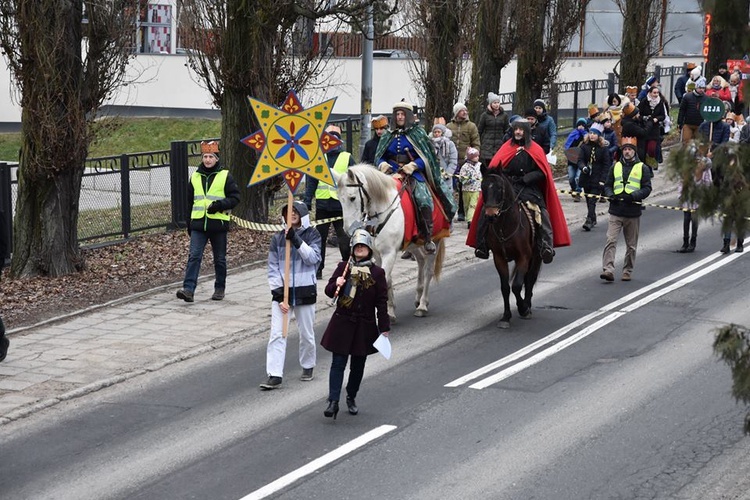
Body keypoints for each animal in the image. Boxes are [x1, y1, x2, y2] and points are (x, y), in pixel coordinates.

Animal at [334, 164, 446, 320]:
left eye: (352, 198)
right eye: (339, 199)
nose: (348, 229)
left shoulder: (389, 253)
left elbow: (385, 280)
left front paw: (382, 313)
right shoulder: (377, 255)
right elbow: (387, 281)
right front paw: (390, 311)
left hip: (435, 240)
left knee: (428, 271)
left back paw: (423, 305)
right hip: (413, 244)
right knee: (421, 261)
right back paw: (418, 297)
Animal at [484, 170, 544, 330]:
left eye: (500, 188)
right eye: (483, 187)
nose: (491, 215)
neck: (505, 226)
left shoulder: (524, 257)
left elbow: (517, 286)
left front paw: (523, 308)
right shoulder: (499, 258)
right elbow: (505, 287)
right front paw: (506, 317)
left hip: (536, 256)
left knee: (530, 279)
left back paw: (527, 305)